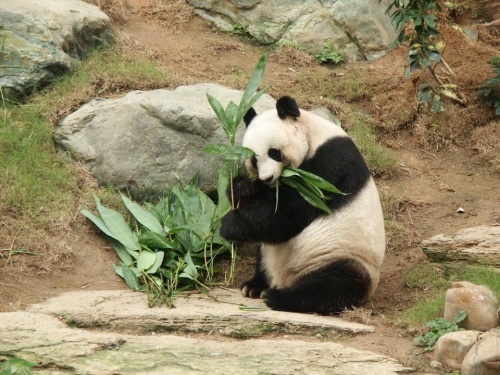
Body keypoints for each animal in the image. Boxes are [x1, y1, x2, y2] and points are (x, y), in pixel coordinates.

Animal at [220, 96, 386, 314]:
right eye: (254, 160)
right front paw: (241, 188)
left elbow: (288, 213)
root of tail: (288, 279)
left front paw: (228, 225)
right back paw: (255, 286)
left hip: (341, 254)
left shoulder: (330, 164)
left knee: (334, 284)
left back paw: (279, 297)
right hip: (274, 256)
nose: (267, 178)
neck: (313, 134)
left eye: (274, 152)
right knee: (263, 255)